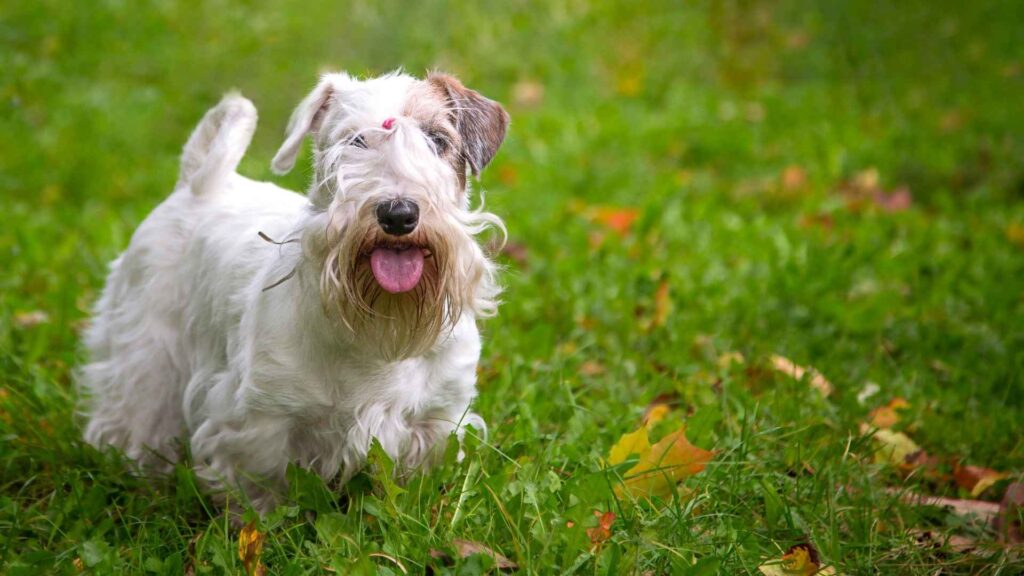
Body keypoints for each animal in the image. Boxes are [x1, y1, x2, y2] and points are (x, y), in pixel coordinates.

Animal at [77, 69, 509, 508]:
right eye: (355, 141)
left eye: (437, 139)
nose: (398, 213)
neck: (375, 328)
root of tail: (197, 185)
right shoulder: (260, 421)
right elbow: (260, 491)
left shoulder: (436, 421)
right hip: (147, 355)